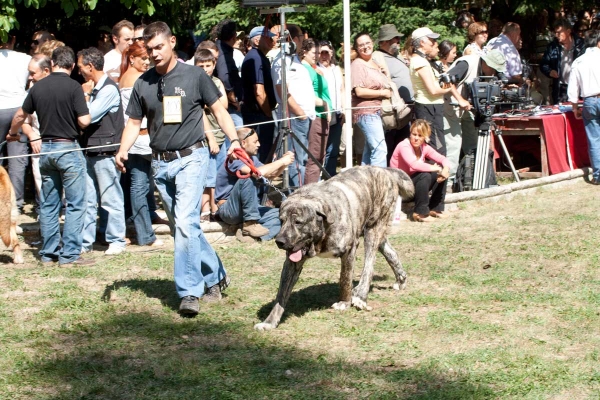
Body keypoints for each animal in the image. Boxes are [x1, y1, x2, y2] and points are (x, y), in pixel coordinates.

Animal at [255, 166, 414, 332]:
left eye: (298, 222)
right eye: (281, 220)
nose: (279, 241)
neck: (323, 230)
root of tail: (384, 170)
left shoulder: (349, 250)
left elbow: (345, 278)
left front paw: (344, 302)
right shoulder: (292, 262)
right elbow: (281, 294)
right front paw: (270, 321)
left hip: (373, 228)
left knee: (369, 265)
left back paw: (360, 295)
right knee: (390, 252)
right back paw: (400, 278)